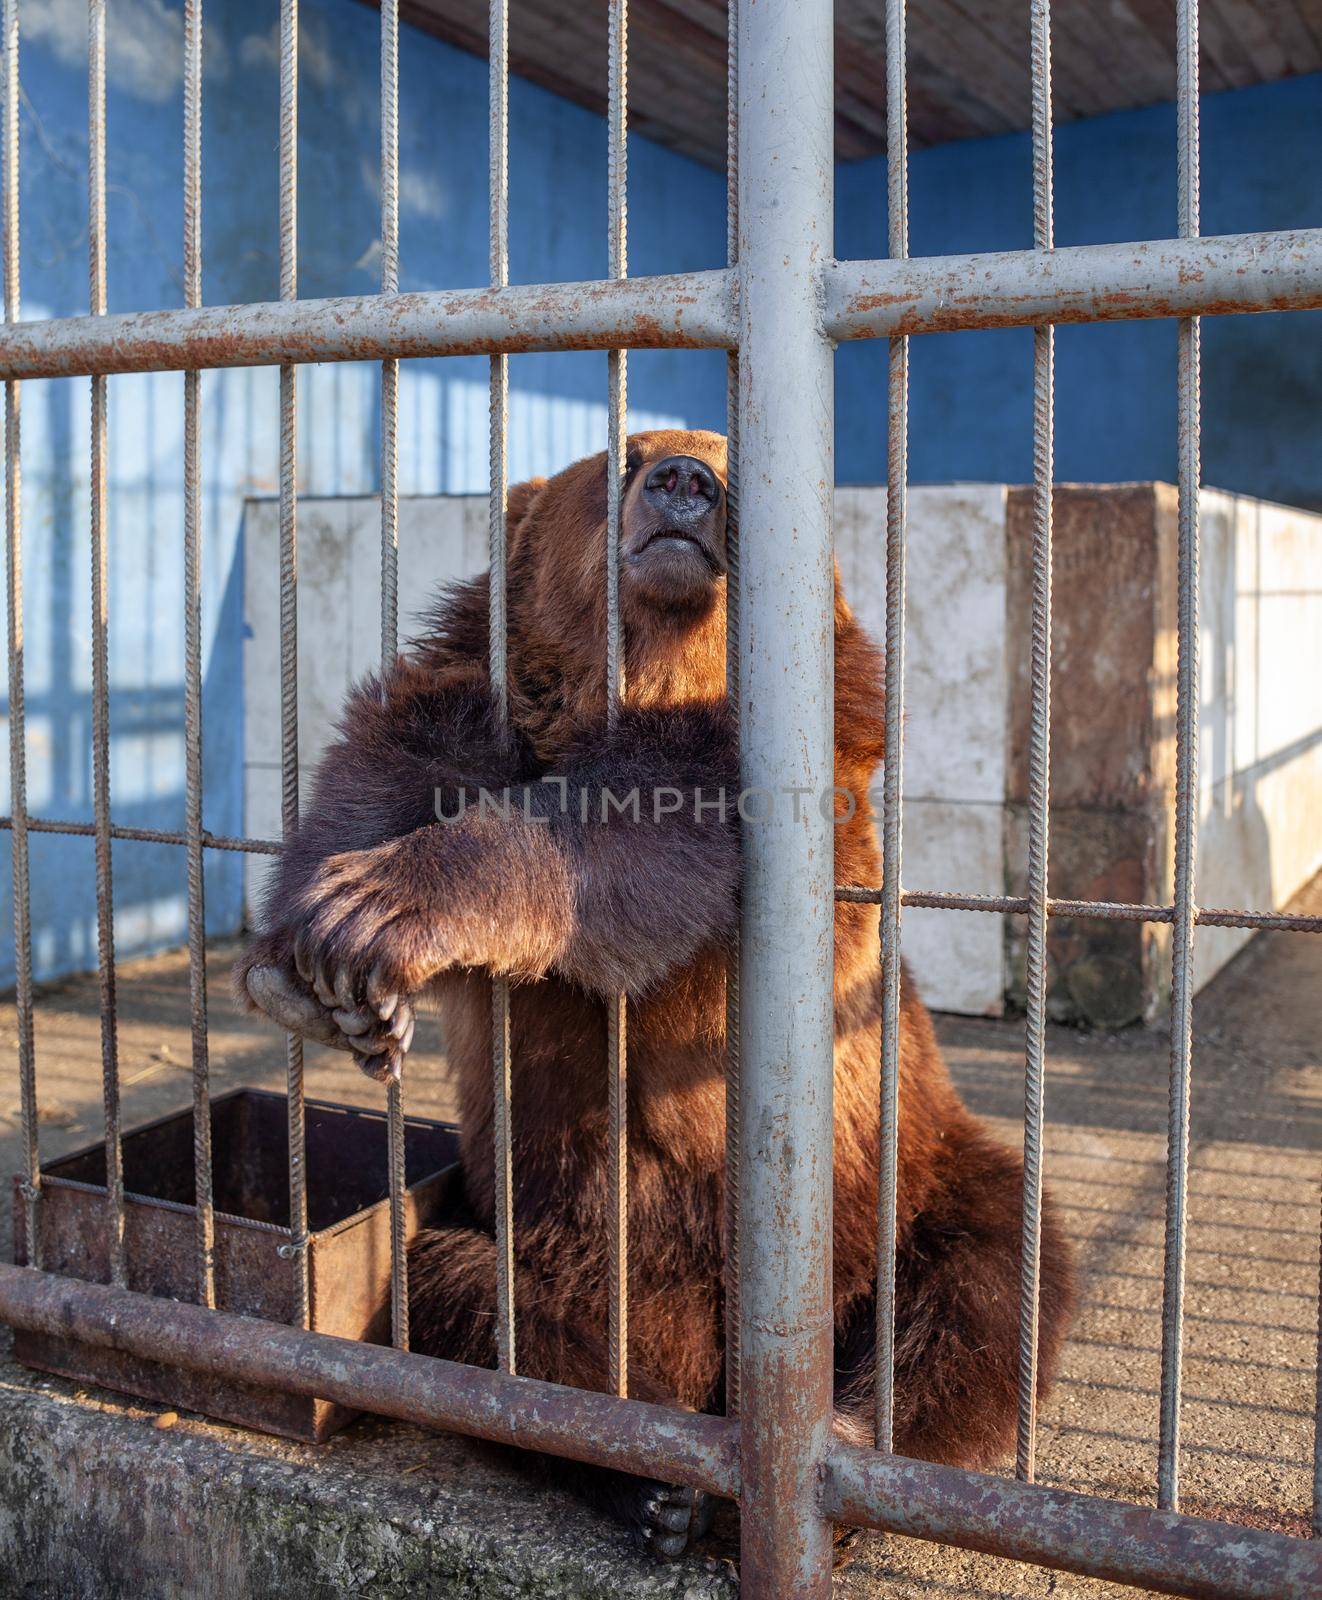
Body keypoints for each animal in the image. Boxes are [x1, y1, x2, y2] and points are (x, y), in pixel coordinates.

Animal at [240, 432, 1069, 1555]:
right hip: (551, 1231)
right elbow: (390, 755)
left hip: (905, 1178)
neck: (640, 670)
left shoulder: (784, 760)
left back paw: (849, 1443)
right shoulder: (480, 696)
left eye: (730, 457)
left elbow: (636, 833)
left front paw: (381, 909)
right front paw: (312, 963)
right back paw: (648, 1473)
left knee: (988, 1281)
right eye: (622, 458)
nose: (685, 480)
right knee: (462, 1297)